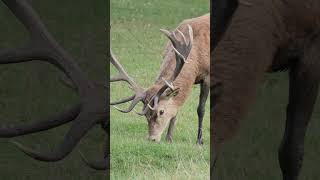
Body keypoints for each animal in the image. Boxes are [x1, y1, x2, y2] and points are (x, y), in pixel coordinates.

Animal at [110, 13, 210, 144]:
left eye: (161, 112)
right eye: (146, 114)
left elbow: (201, 109)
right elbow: (176, 110)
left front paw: (199, 140)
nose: (152, 138)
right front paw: (169, 138)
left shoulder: (207, 76)